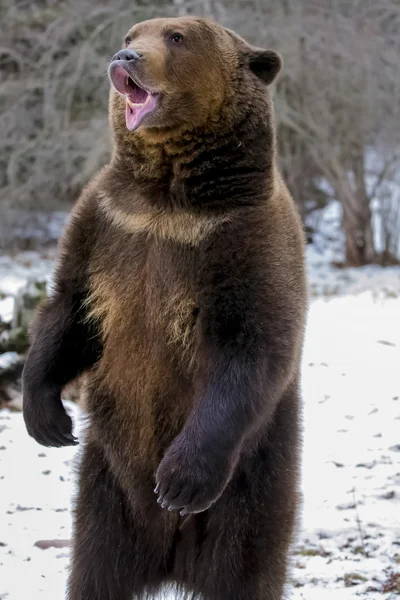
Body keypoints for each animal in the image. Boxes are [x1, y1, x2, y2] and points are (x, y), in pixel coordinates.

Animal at [21, 14, 306, 600]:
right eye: (133, 34)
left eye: (177, 37)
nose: (124, 57)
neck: (167, 197)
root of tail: (172, 558)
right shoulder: (108, 223)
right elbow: (71, 308)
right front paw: (47, 418)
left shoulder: (245, 237)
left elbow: (253, 345)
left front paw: (179, 478)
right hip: (105, 490)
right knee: (95, 569)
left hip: (252, 484)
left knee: (246, 566)